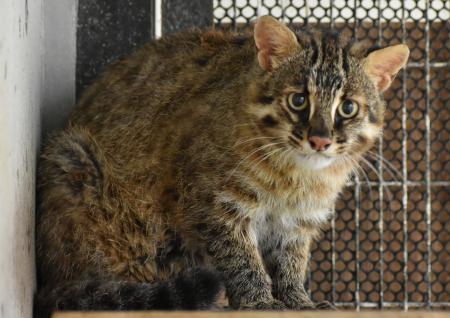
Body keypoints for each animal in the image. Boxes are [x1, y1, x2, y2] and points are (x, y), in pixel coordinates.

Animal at [35, 15, 408, 316]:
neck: (296, 179)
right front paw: (258, 302)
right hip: (74, 163)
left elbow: (291, 262)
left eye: (348, 107)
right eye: (299, 100)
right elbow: (242, 260)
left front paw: (298, 301)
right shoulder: (214, 203)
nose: (320, 140)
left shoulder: (298, 222)